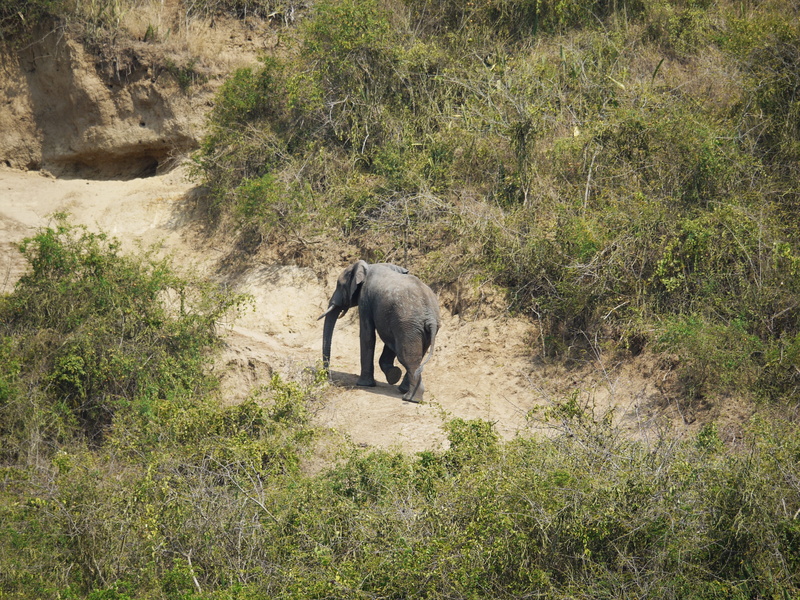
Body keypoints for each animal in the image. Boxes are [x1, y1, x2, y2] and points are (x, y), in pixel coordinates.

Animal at [319, 260, 440, 402]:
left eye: (339, 285)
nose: (328, 379)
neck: (369, 266)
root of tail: (430, 315)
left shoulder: (365, 298)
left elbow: (367, 336)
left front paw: (364, 384)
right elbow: (389, 342)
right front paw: (393, 375)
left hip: (409, 324)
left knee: (407, 357)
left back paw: (410, 398)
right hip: (418, 327)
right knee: (416, 355)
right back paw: (405, 391)